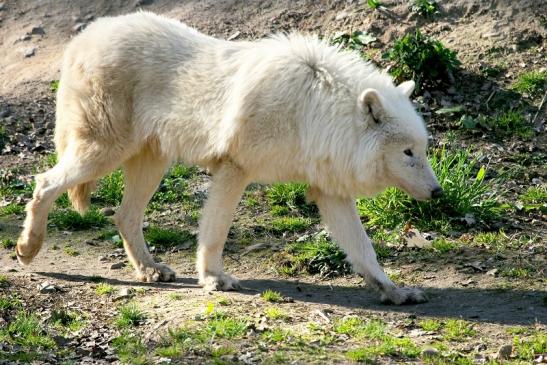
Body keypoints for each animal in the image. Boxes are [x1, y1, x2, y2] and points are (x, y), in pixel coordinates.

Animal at [17, 12, 444, 304]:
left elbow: (364, 249)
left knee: (124, 216)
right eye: (408, 153)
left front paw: (393, 290)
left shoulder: (330, 192)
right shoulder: (234, 169)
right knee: (44, 183)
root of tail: (83, 37)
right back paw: (28, 248)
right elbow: (215, 231)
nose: (439, 193)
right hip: (102, 155)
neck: (312, 110)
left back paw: (150, 270)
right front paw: (213, 278)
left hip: (151, 164)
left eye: (423, 150)